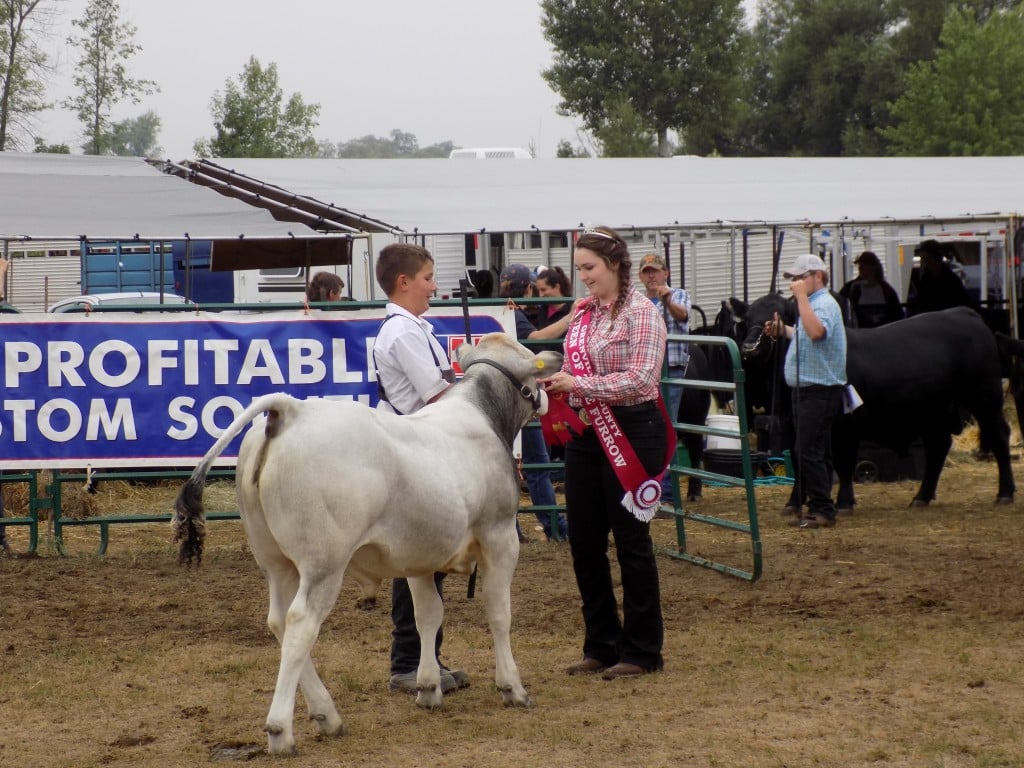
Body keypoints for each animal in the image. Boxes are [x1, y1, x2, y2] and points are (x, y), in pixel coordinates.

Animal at [176, 331, 561, 757]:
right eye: (532, 368)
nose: (549, 394)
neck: (482, 415)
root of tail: (292, 409)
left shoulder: (418, 555)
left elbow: (428, 615)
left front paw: (429, 688)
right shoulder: (500, 535)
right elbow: (498, 613)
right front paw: (513, 687)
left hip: (274, 560)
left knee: (278, 621)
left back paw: (327, 714)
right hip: (324, 563)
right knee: (300, 623)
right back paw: (281, 730)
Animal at [720, 296, 1015, 514]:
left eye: (778, 317)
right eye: (747, 319)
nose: (749, 347)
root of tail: (964, 312)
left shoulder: (846, 425)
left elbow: (843, 463)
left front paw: (843, 502)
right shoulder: (794, 425)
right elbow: (799, 457)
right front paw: (794, 504)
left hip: (984, 398)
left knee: (998, 436)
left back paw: (1005, 493)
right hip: (936, 410)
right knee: (938, 447)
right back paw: (921, 497)